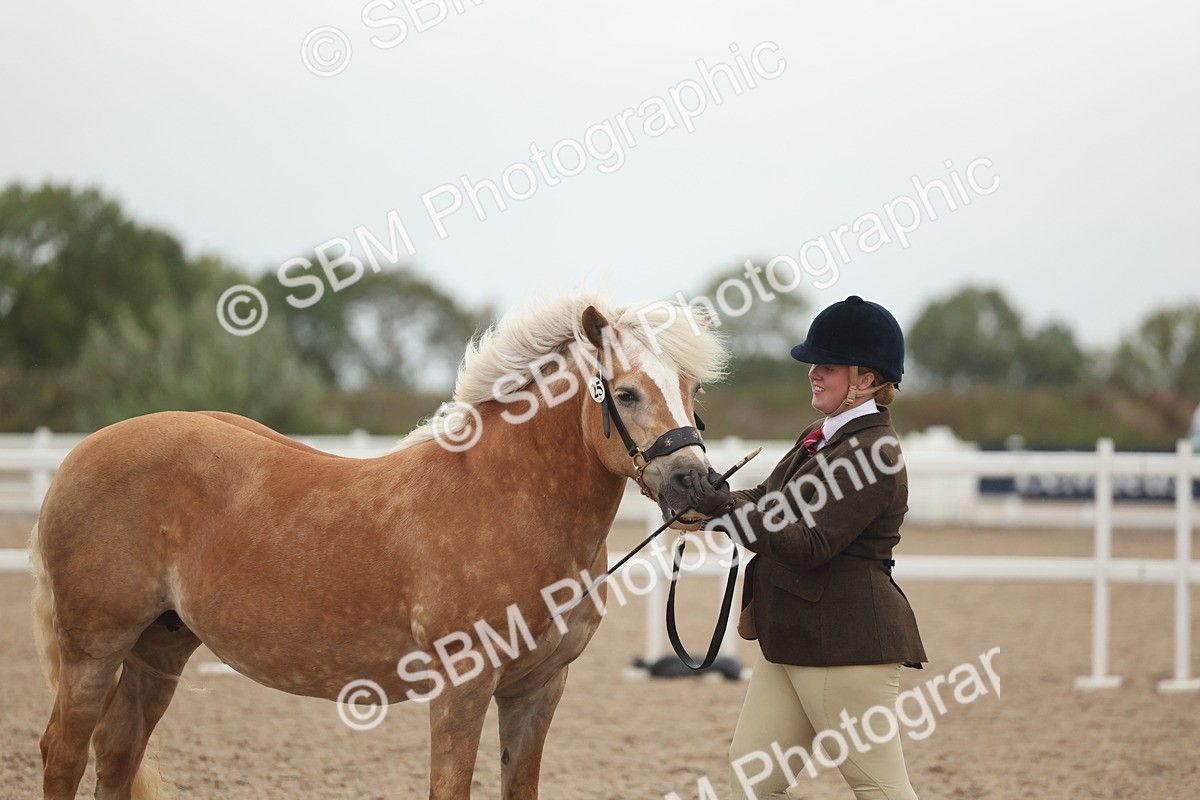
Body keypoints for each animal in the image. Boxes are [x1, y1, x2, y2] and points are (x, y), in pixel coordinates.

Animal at [29, 294, 729, 799]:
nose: (700, 486)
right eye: (627, 392)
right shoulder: (462, 685)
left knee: (117, 754)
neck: (507, 499)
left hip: (160, 647)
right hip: (95, 648)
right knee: (63, 755)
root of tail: (79, 456)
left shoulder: (537, 689)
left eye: (692, 391)